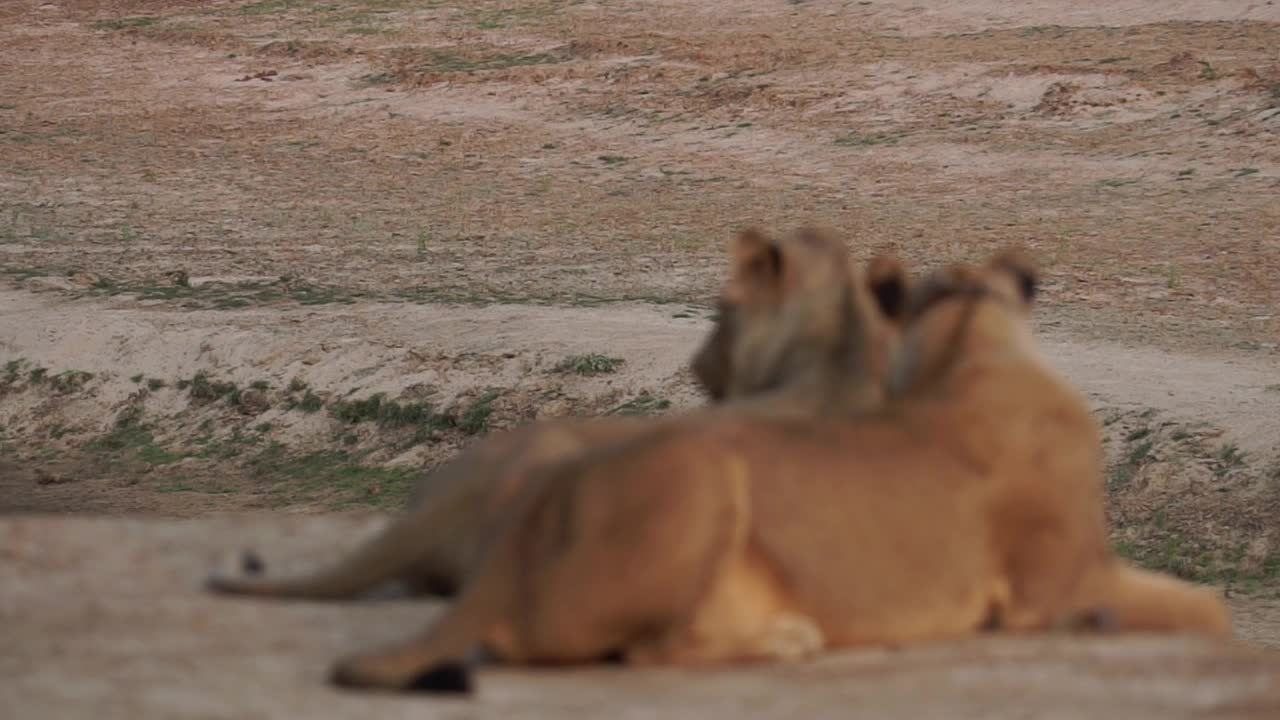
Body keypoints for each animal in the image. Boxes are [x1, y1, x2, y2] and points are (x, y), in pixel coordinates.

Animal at [327, 244, 1228, 691]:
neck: (967, 348)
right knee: (644, 653)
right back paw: (787, 640)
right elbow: (1209, 608)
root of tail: (508, 558)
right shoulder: (1061, 585)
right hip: (703, 481)